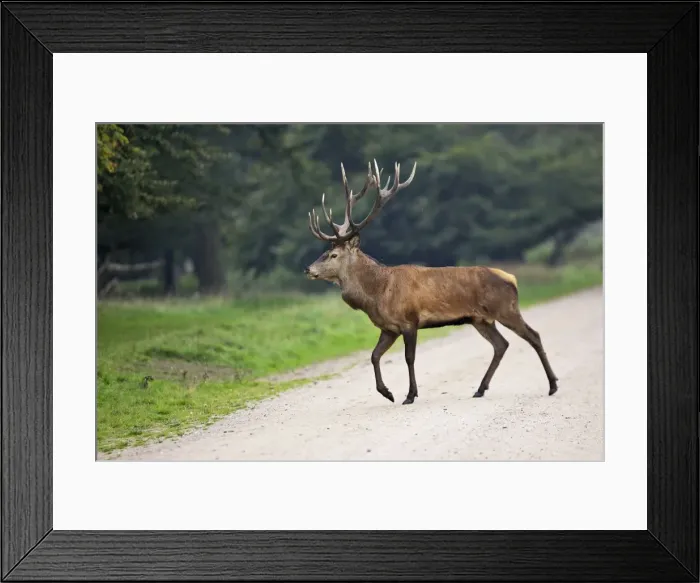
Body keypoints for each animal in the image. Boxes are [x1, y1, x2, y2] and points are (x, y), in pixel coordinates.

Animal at [304, 159, 559, 405]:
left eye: (333, 255)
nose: (308, 269)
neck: (378, 293)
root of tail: (511, 278)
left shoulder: (409, 321)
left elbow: (409, 358)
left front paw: (409, 395)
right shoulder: (388, 328)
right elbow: (374, 356)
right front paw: (387, 393)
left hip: (506, 308)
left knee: (533, 335)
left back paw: (552, 385)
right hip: (481, 319)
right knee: (501, 344)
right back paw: (480, 389)